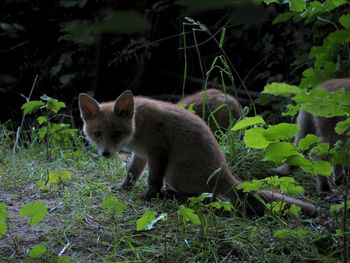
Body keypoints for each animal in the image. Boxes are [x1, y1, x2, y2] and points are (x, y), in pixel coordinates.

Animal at [78, 90, 314, 217]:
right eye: (98, 134)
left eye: (117, 133)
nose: (106, 153)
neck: (137, 125)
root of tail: (226, 173)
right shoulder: (142, 154)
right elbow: (131, 174)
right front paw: (123, 188)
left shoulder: (158, 150)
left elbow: (153, 180)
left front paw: (148, 196)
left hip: (175, 171)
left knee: (207, 197)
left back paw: (170, 195)